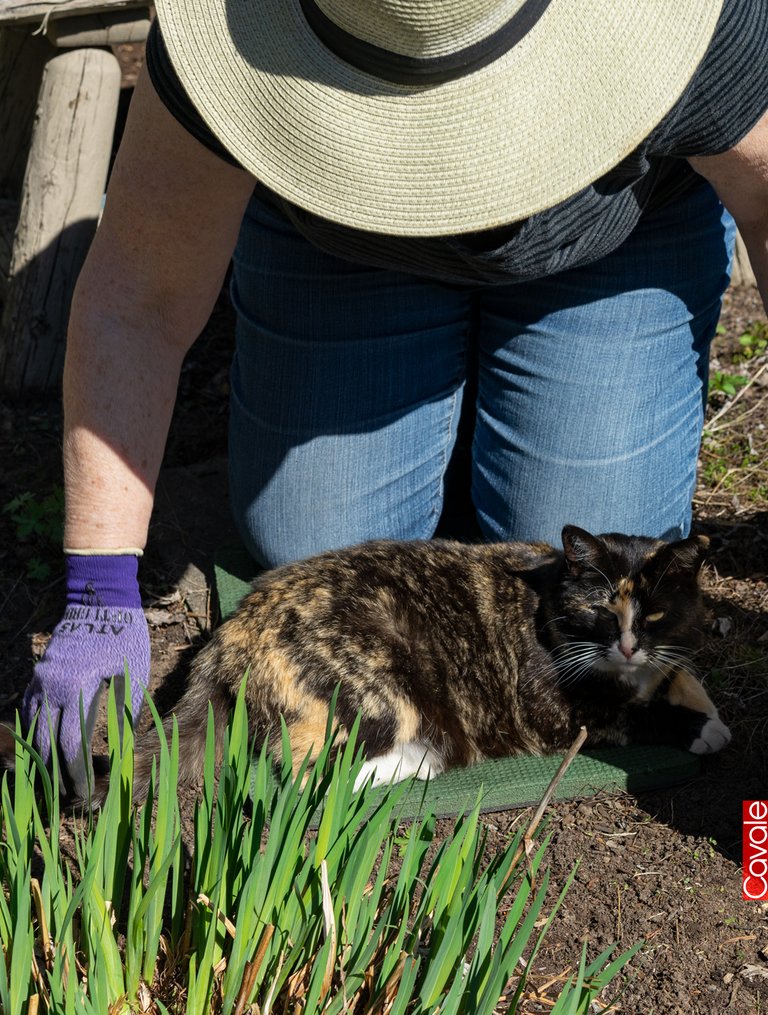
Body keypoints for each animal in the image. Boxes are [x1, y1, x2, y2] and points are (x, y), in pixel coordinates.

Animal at [124, 523, 726, 799]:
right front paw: (702, 730)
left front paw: (707, 711)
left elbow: (684, 674)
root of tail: (231, 631)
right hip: (382, 680)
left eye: (654, 615)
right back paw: (420, 761)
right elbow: (634, 714)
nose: (626, 646)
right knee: (307, 770)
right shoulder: (562, 715)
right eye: (601, 609)